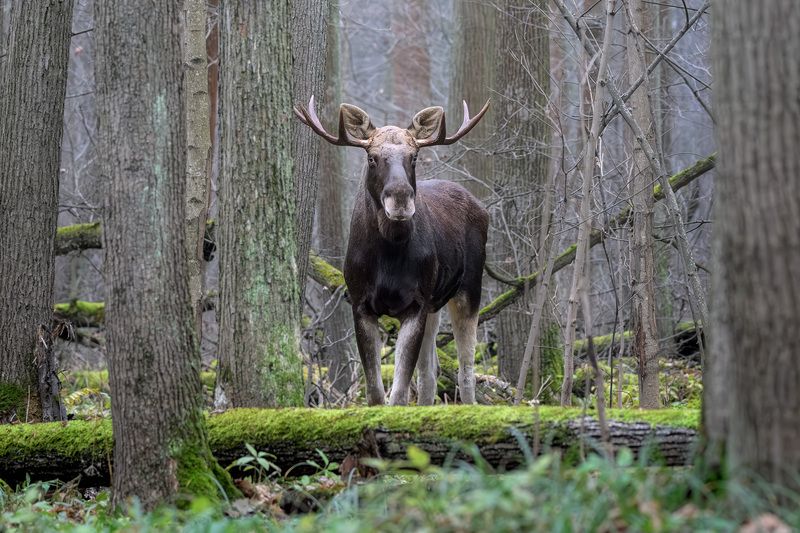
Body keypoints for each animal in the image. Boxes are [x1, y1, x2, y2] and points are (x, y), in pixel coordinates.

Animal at [294, 96, 490, 406]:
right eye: (371, 157)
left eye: (414, 156)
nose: (400, 199)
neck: (388, 260)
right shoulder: (361, 302)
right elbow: (375, 391)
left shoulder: (415, 304)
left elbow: (398, 393)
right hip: (435, 303)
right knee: (429, 375)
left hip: (469, 289)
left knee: (466, 371)